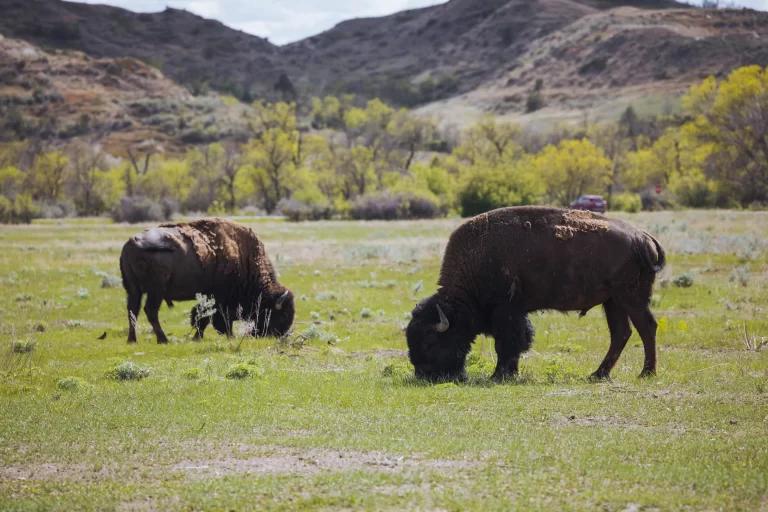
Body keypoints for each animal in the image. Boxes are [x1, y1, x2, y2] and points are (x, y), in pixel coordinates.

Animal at [119, 217, 294, 344]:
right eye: (283, 315)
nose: (276, 335)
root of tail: (132, 242)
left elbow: (202, 316)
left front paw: (199, 337)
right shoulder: (218, 298)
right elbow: (210, 316)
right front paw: (224, 336)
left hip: (133, 288)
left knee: (132, 310)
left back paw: (132, 340)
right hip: (156, 290)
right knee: (150, 310)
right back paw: (163, 339)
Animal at [408, 206, 664, 382]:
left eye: (430, 341)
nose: (423, 374)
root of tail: (643, 236)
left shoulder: (507, 312)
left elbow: (508, 342)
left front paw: (499, 375)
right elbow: (517, 342)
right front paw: (510, 373)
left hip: (631, 299)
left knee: (646, 327)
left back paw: (646, 373)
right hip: (613, 302)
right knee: (621, 333)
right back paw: (598, 374)